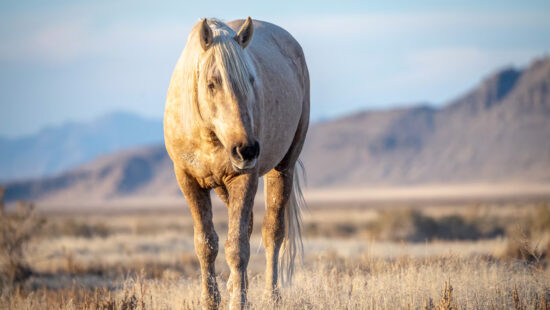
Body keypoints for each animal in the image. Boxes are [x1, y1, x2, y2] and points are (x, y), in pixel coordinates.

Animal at [163, 17, 310, 310]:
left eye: (251, 81)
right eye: (212, 83)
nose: (247, 150)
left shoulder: (245, 177)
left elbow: (237, 246)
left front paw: (237, 302)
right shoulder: (189, 181)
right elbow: (206, 244)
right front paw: (212, 300)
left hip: (283, 168)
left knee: (272, 232)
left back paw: (270, 296)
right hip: (223, 186)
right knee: (248, 225)